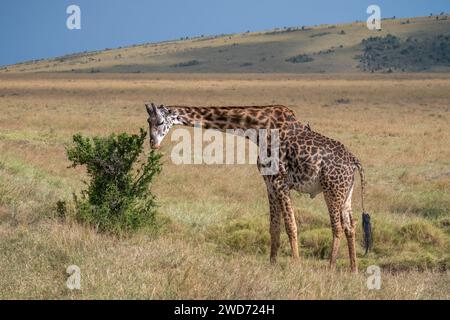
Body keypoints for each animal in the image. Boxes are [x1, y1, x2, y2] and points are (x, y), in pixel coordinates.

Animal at [146, 102, 370, 272]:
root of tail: (354, 161)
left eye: (161, 121)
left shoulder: (280, 182)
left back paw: (331, 267)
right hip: (346, 193)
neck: (257, 129)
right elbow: (274, 227)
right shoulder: (269, 183)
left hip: (332, 190)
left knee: (337, 226)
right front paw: (272, 264)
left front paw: (296, 265)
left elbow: (291, 225)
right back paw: (353, 269)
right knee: (350, 226)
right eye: (148, 121)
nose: (153, 143)